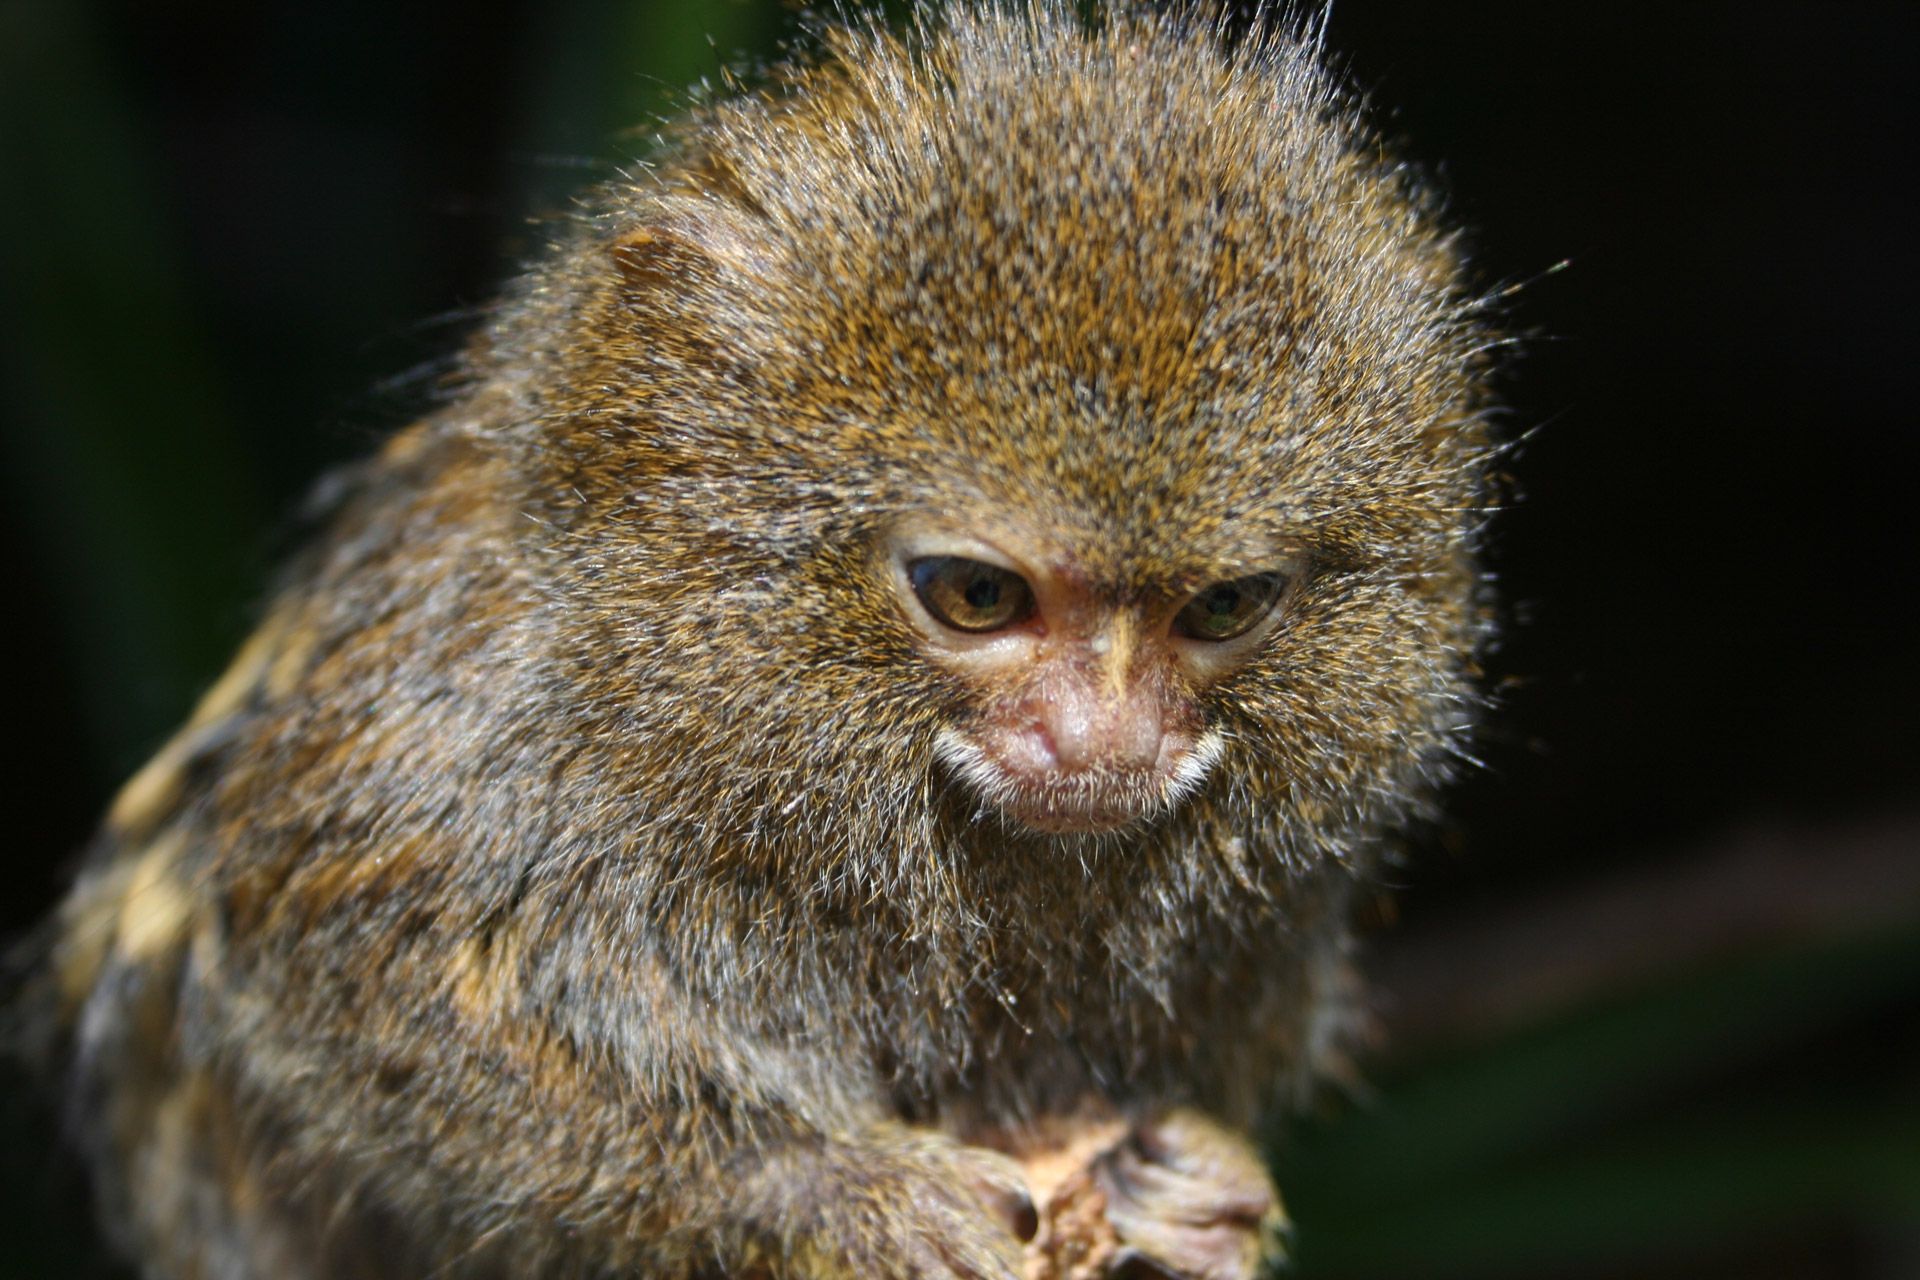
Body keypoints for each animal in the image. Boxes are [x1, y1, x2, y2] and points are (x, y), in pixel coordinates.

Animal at [30, 2, 1497, 1280]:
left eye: (1223, 609)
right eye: (977, 595)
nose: (1104, 740)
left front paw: (1201, 1191)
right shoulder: (464, 717)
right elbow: (344, 966)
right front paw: (824, 1189)